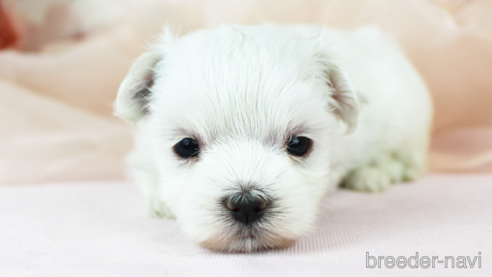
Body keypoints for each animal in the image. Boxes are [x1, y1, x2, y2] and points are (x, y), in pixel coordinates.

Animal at [113, 24, 432, 252]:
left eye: (299, 144)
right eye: (186, 146)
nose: (246, 204)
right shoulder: (141, 152)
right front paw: (160, 201)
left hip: (407, 119)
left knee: (407, 161)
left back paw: (373, 173)